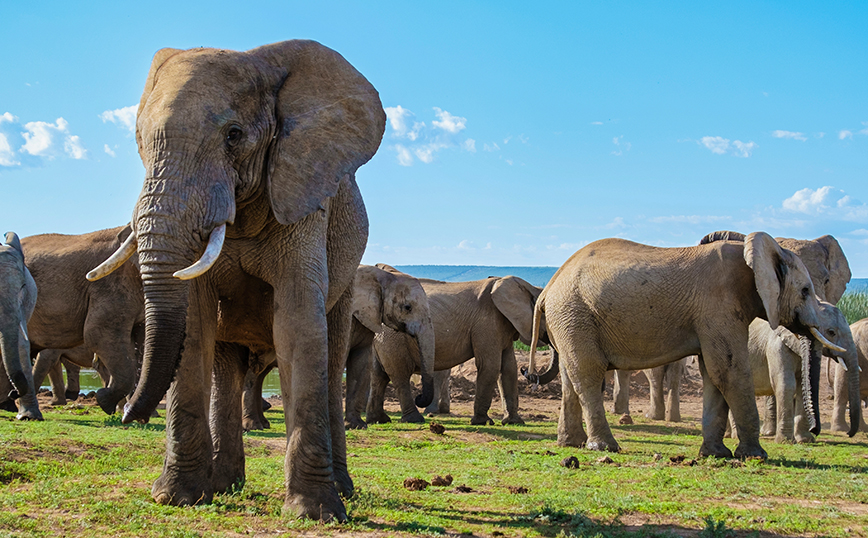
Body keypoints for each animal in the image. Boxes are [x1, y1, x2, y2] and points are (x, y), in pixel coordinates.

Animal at [87, 38, 384, 520]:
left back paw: (344, 490)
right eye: (139, 141)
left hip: (349, 270)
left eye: (234, 135)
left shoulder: (302, 197)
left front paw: (314, 512)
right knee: (226, 364)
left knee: (332, 350)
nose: (127, 411)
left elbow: (299, 326)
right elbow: (195, 326)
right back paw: (224, 486)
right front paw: (176, 498)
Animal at [241, 264, 434, 432]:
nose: (419, 398)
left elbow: (360, 365)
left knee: (258, 373)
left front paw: (357, 425)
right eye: (407, 307)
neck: (381, 275)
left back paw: (262, 424)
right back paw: (253, 426)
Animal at [368, 274, 544, 426]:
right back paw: (414, 419)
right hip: (393, 338)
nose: (526, 371)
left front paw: (514, 422)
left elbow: (508, 368)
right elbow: (490, 366)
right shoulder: (486, 323)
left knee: (379, 375)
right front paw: (482, 422)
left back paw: (379, 420)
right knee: (400, 374)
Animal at [524, 230, 844, 456]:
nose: (816, 431)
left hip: (568, 320)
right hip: (574, 312)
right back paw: (605, 447)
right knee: (588, 375)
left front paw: (717, 455)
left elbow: (713, 374)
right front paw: (756, 455)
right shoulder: (718, 305)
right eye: (805, 291)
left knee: (571, 377)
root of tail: (548, 288)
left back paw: (571, 444)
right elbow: (728, 371)